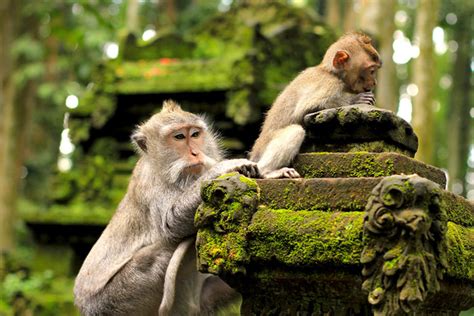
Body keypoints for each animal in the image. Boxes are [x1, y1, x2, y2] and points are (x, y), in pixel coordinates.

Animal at [75, 100, 260, 316]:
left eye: (195, 134)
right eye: (179, 137)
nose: (196, 153)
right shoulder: (151, 183)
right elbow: (170, 224)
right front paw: (223, 167)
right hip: (116, 298)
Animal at [250, 33, 384, 180]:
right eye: (371, 71)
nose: (375, 82)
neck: (330, 72)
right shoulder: (329, 84)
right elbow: (305, 109)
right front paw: (355, 99)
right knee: (295, 131)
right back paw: (267, 172)